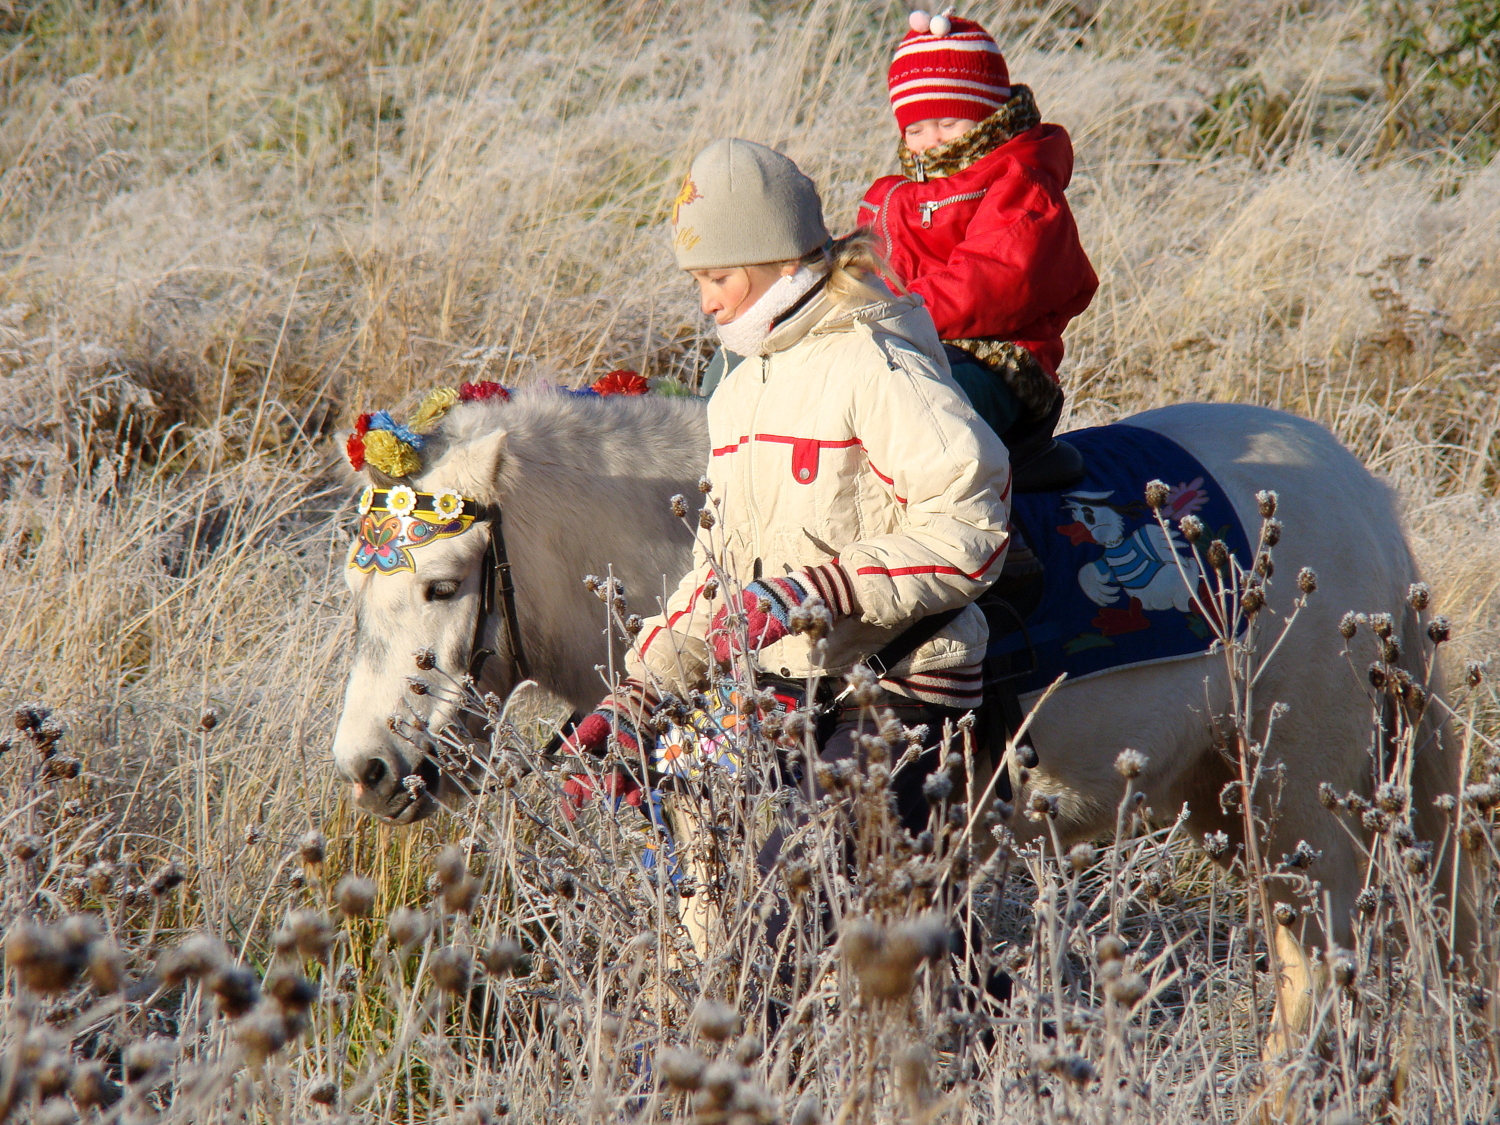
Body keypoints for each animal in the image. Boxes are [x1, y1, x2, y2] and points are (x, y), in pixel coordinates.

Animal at [328, 393, 1464, 1056]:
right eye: (356, 588)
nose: (370, 770)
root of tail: (1370, 506)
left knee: (1326, 978)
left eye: (440, 584)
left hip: (1306, 810)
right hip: (1234, 800)